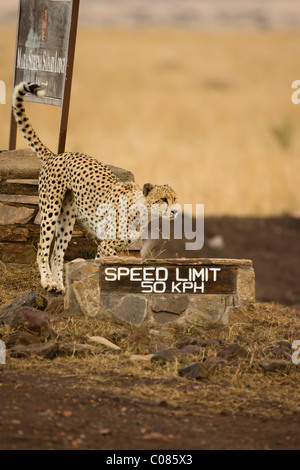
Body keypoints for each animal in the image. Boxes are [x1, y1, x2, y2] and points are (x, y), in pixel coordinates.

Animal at [12, 81, 178, 294]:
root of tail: (58, 155)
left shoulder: (109, 246)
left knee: (57, 254)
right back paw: (48, 282)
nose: (175, 211)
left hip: (67, 219)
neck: (142, 213)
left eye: (175, 199)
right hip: (51, 209)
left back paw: (60, 285)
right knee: (43, 249)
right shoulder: (107, 244)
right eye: (163, 199)